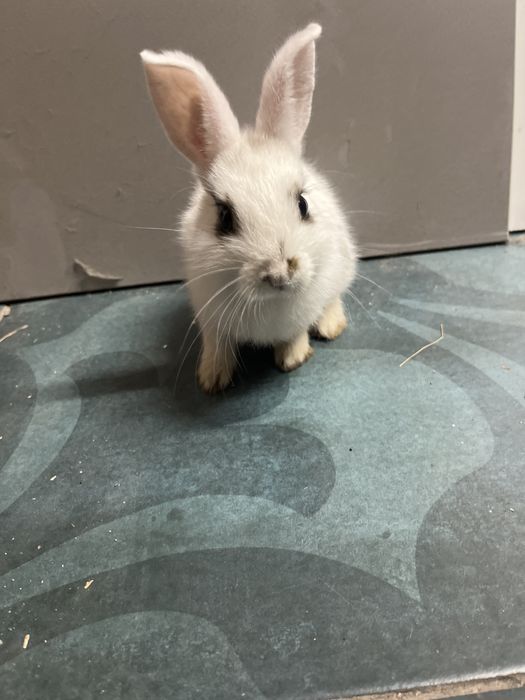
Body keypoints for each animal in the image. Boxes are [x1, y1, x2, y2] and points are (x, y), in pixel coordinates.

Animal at [140, 23, 356, 393]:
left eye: (303, 203)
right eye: (224, 217)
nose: (280, 273)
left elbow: (295, 332)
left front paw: (294, 358)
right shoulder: (210, 316)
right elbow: (218, 343)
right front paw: (211, 378)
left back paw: (330, 326)